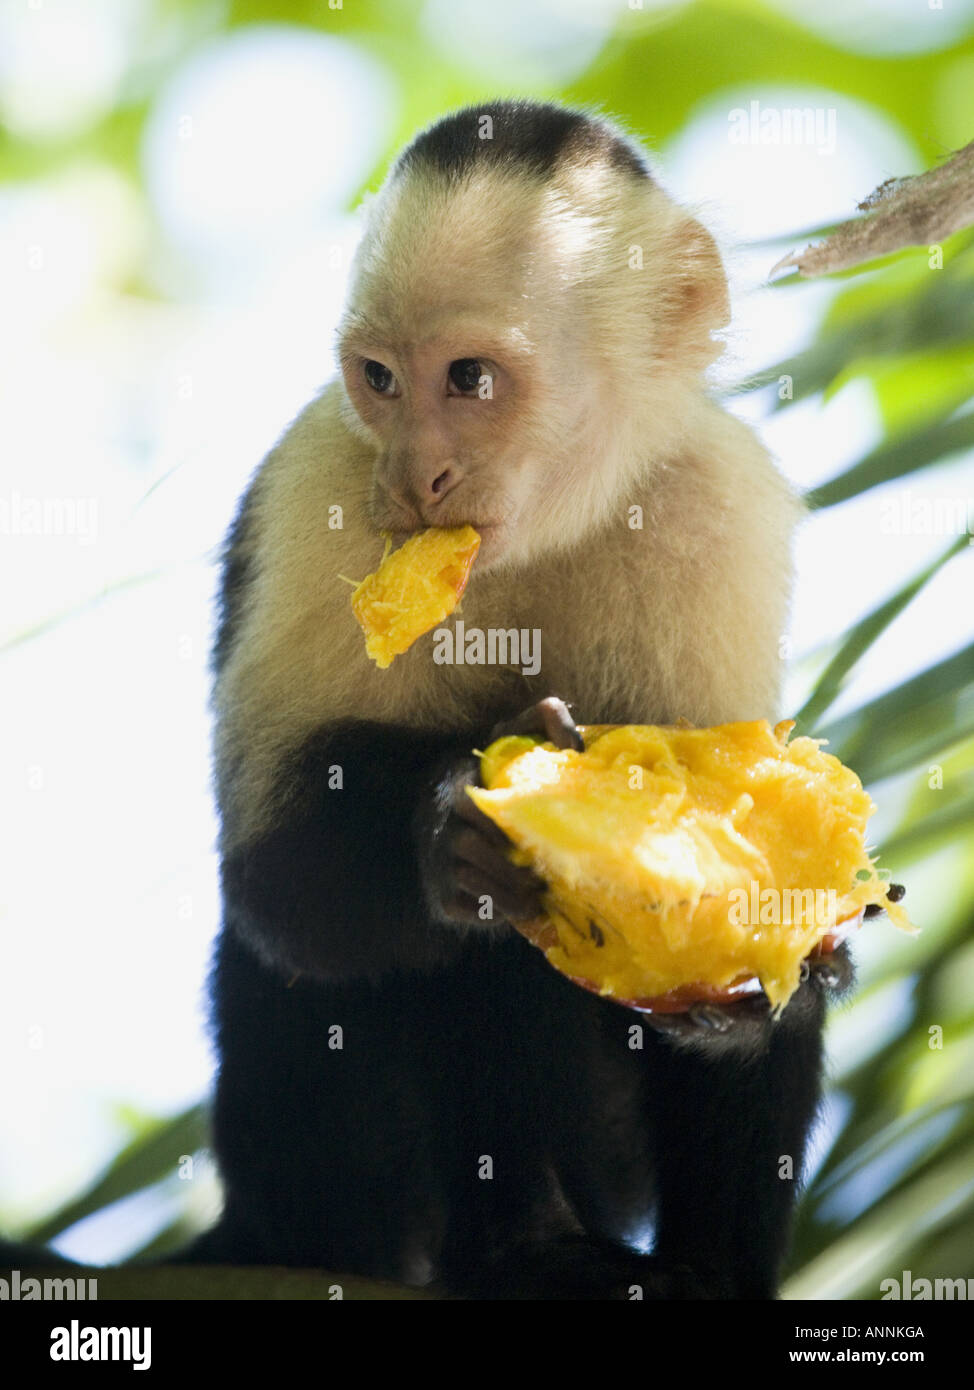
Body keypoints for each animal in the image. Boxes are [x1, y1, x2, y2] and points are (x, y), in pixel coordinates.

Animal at [195, 100, 850, 1301]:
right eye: (380, 377)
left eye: (470, 378)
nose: (417, 478)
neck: (544, 526)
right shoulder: (322, 485)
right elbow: (274, 886)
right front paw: (447, 827)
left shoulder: (713, 499)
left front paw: (758, 982)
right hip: (324, 1181)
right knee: (435, 967)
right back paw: (519, 1248)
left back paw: (707, 1272)